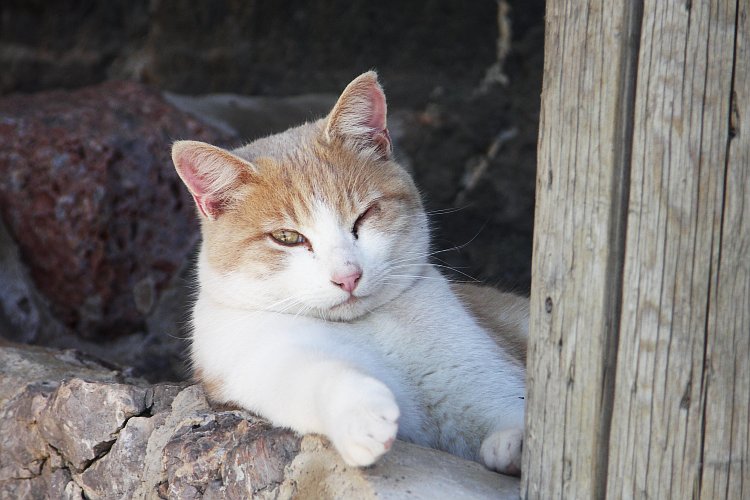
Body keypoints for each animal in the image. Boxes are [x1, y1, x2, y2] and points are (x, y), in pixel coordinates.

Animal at [174, 72, 532, 474]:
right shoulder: (257, 362)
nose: (348, 276)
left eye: (363, 217)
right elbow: (317, 377)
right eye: (287, 237)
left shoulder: (486, 374)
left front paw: (518, 443)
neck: (367, 327)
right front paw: (361, 417)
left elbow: (512, 407)